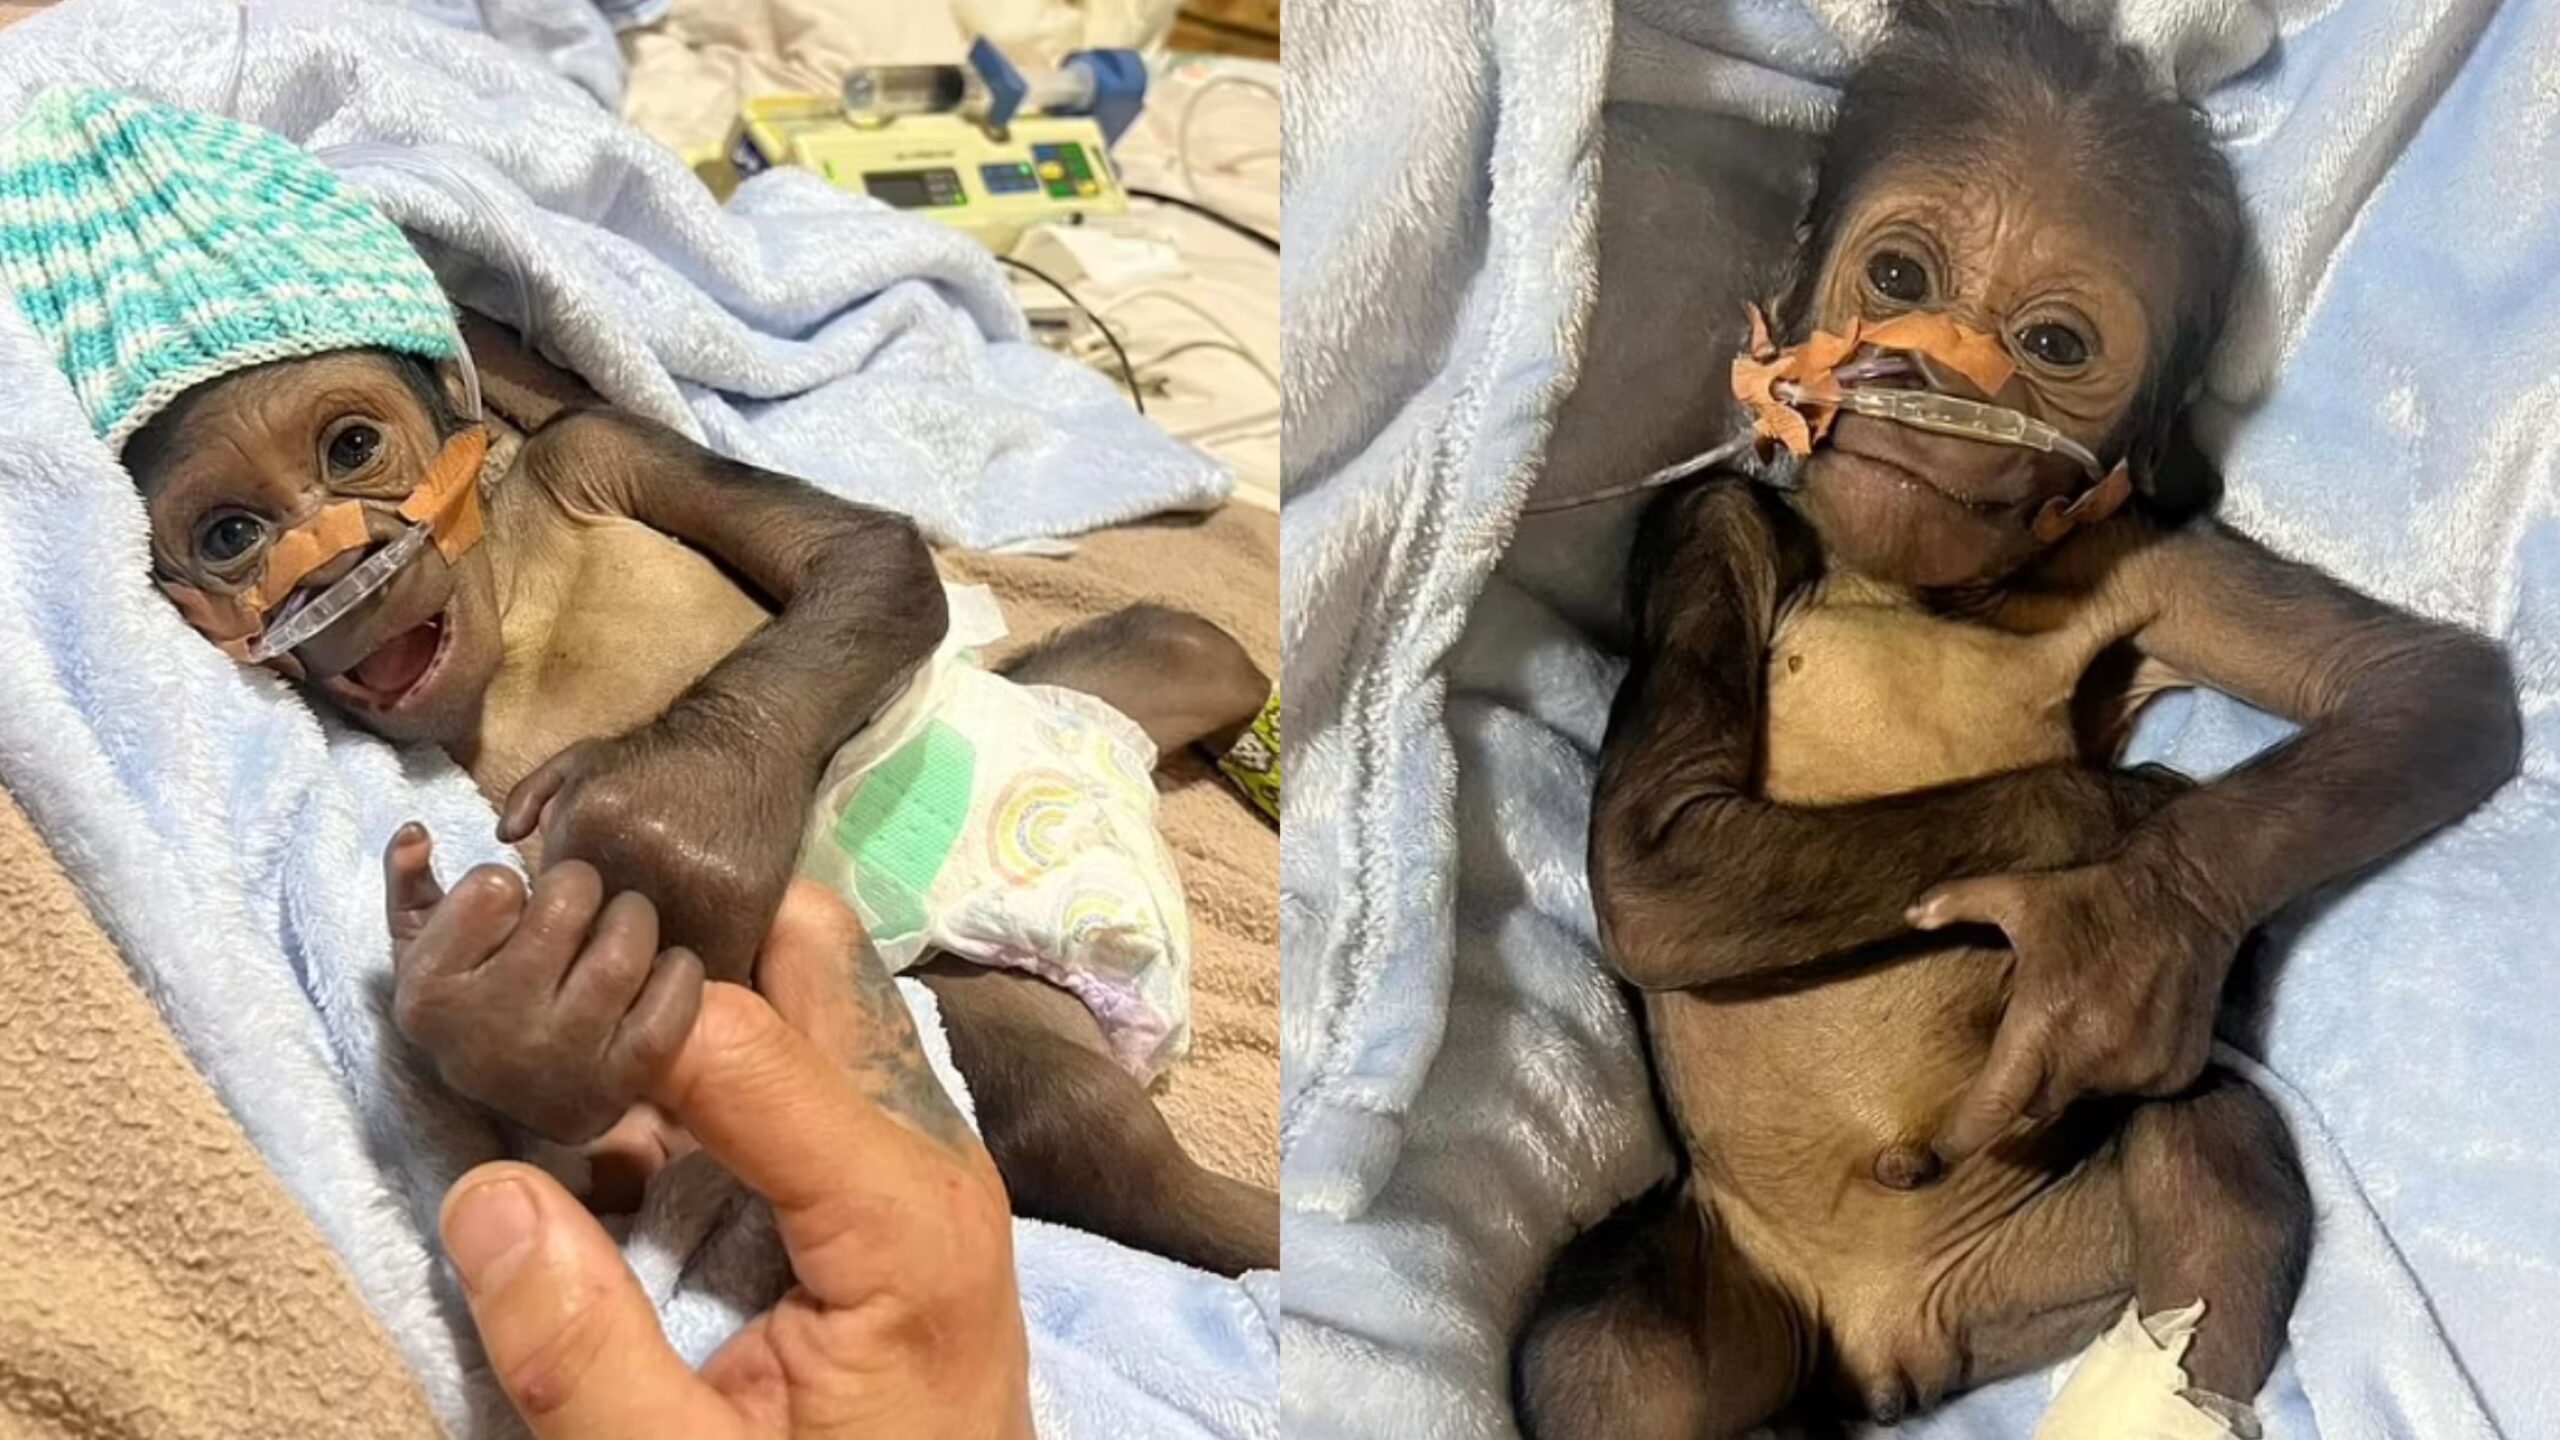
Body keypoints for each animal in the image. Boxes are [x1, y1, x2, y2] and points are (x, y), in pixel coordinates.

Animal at [127, 340, 1280, 1270]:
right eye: (231, 535)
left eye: (353, 445)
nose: (336, 570)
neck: (513, 610)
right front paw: (514, 1021)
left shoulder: (595, 445)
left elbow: (871, 556)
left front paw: (674, 810)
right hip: (969, 989)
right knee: (1074, 1120)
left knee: (1195, 644)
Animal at [1505, 2, 2529, 1434]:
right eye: (1896, 274)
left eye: (2052, 347)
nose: (1918, 373)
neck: (1923, 590)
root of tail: (1879, 1337)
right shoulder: (1701, 528)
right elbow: (1661, 862)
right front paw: (2127, 812)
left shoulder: (2154, 558)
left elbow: (2420, 686)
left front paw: (2131, 924)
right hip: (1728, 1278)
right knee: (1613, 1344)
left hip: (2018, 1271)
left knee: (2212, 1152)